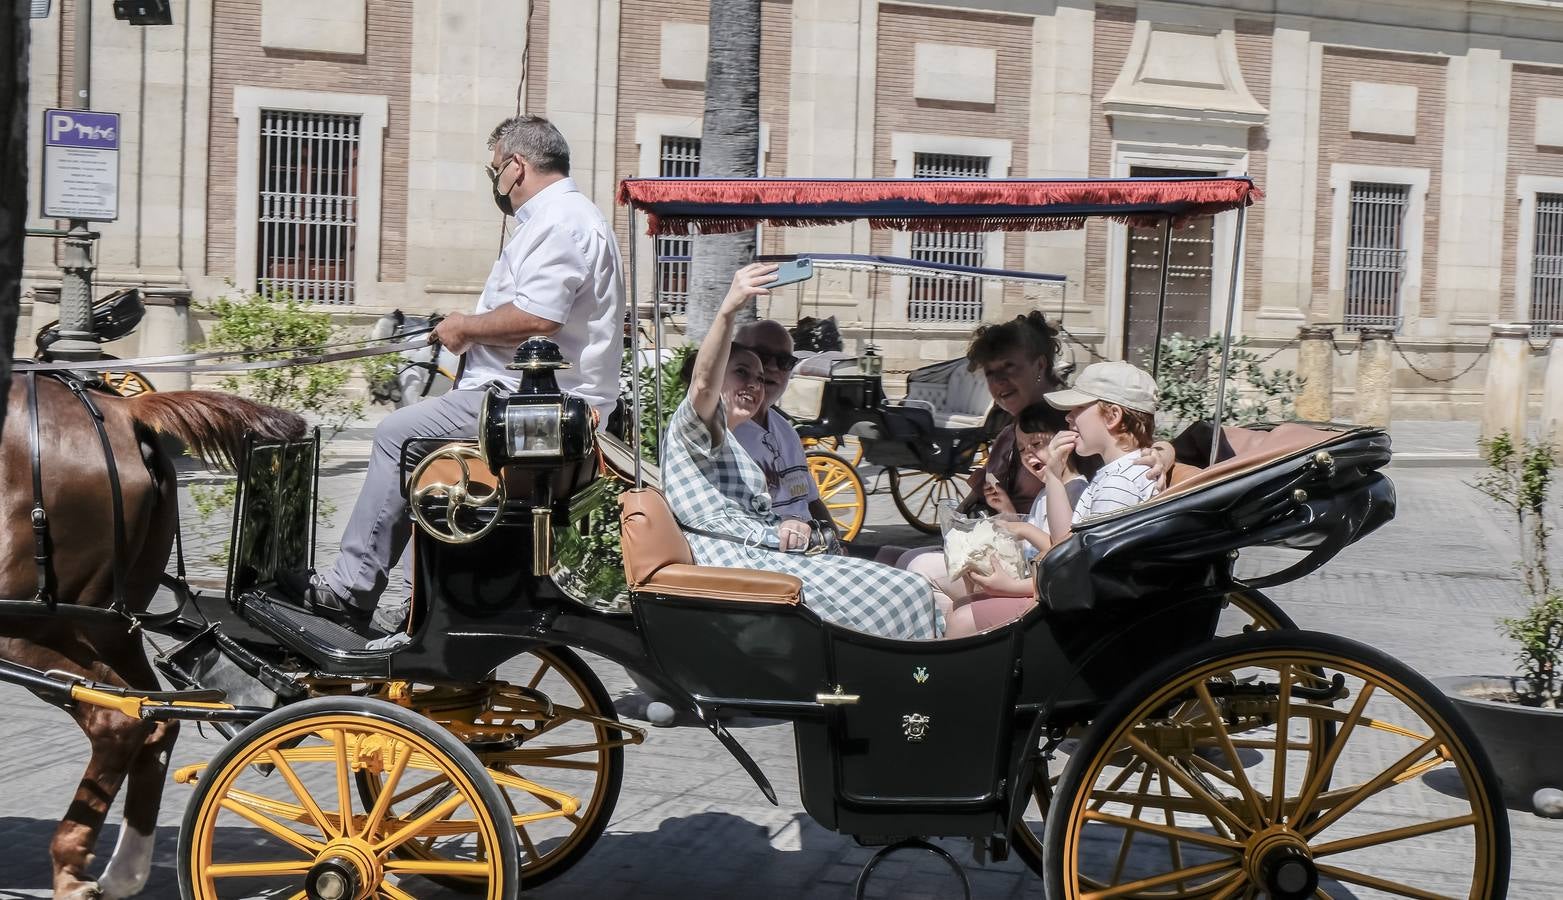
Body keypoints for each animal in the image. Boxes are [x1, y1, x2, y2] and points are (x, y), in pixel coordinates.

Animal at [0, 376, 303, 893]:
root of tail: (125, 411)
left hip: (30, 621)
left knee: (118, 719)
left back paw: (74, 869)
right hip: (109, 625)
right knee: (152, 717)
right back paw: (123, 871)